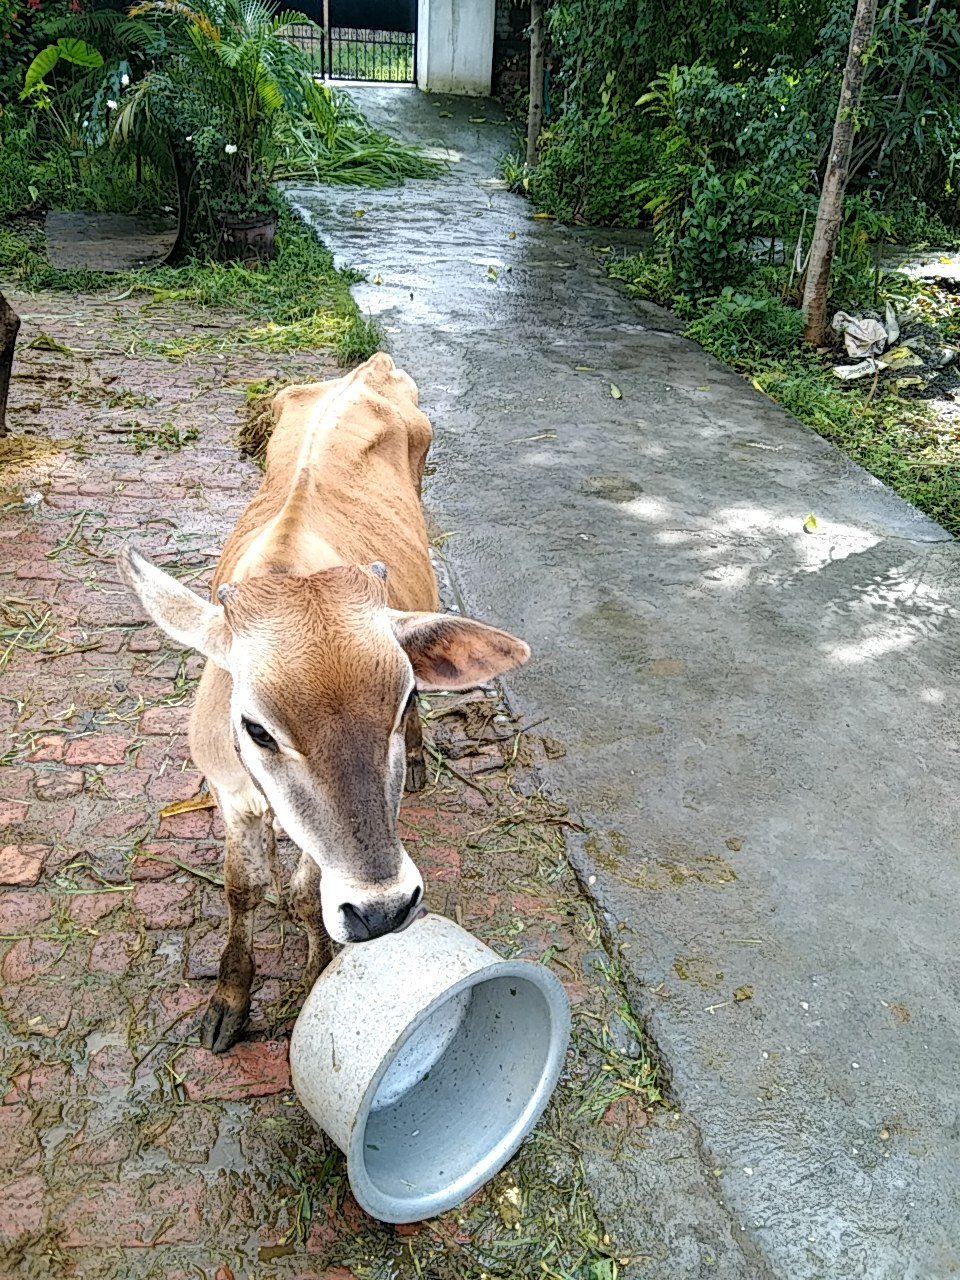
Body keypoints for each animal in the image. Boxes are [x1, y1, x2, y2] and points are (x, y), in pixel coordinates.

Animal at [119, 353, 529, 1052]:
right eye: (256, 729)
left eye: (403, 695)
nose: (385, 910)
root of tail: (371, 365)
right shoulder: (230, 793)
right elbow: (242, 889)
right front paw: (230, 997)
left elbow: (310, 894)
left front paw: (314, 981)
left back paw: (419, 763)